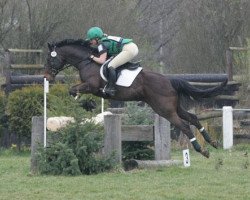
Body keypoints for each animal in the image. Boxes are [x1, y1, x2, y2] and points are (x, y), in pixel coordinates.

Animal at [44, 38, 228, 158]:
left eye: (49, 60)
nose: (47, 77)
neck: (87, 61)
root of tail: (169, 80)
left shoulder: (92, 86)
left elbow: (72, 90)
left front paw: (85, 103)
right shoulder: (92, 89)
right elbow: (74, 91)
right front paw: (86, 103)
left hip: (164, 109)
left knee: (184, 125)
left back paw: (202, 150)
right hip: (172, 106)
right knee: (193, 118)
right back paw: (212, 142)